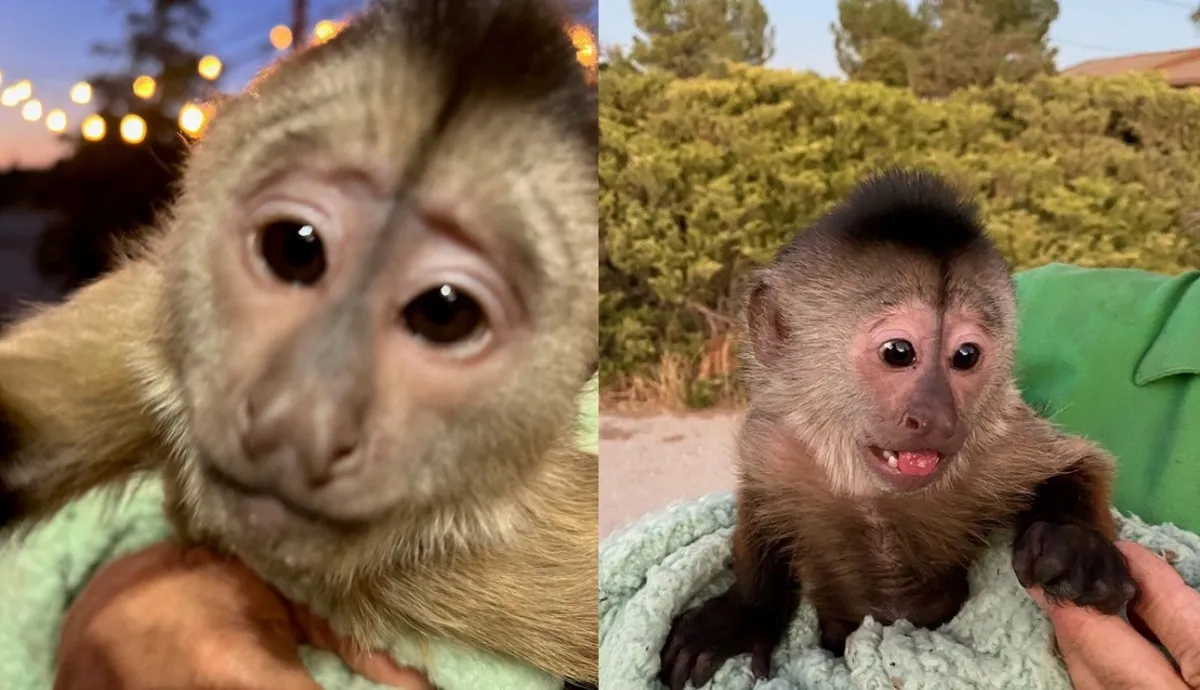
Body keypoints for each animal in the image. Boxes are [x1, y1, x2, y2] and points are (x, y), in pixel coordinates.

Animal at [658, 169, 1138, 690]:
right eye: (898, 352)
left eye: (965, 356)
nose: (938, 417)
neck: (874, 495)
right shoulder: (777, 443)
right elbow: (761, 506)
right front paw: (745, 616)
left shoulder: (997, 442)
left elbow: (1076, 463)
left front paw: (1075, 542)